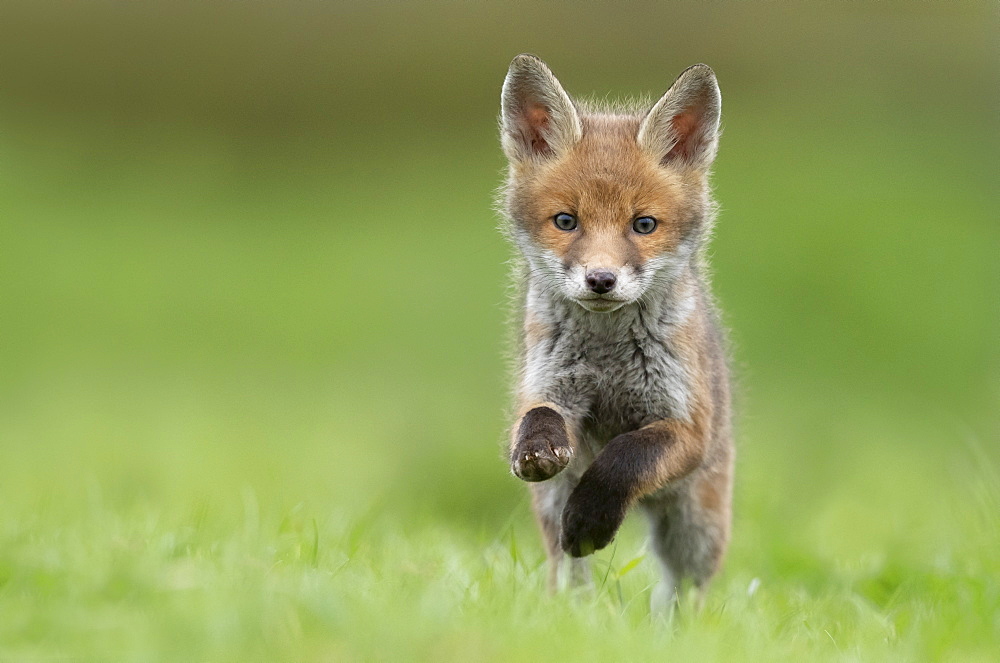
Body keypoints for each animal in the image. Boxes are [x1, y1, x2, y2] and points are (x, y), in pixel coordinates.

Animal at [500, 54, 736, 604]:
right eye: (566, 221)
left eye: (643, 225)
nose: (601, 280)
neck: (608, 359)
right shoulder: (547, 386)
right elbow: (537, 417)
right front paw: (536, 447)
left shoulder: (686, 427)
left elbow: (625, 456)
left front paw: (593, 518)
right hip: (551, 506)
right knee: (567, 568)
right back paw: (572, 612)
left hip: (696, 525)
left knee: (685, 588)